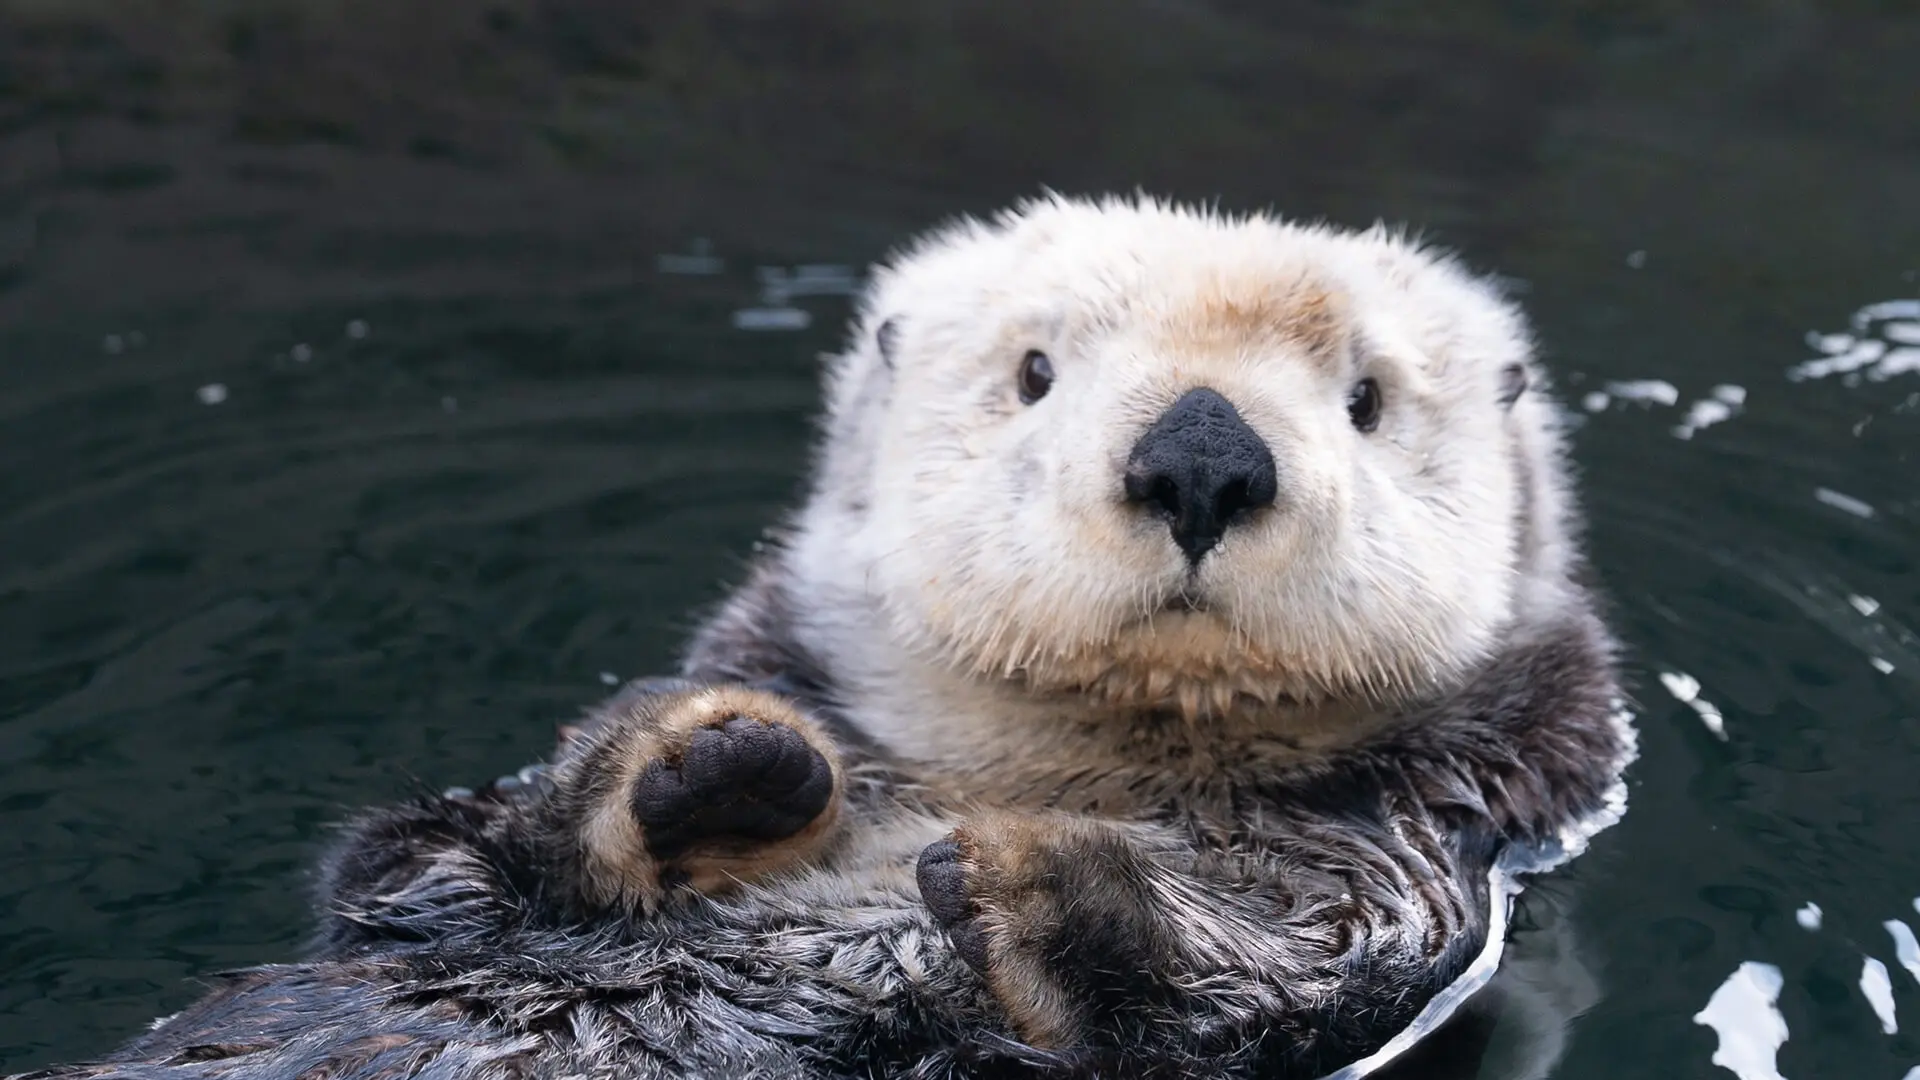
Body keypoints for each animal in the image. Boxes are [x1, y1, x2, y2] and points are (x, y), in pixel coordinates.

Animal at [15, 195, 1634, 1080]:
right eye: (1035, 371)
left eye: (1364, 400)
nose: (1202, 456)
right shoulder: (428, 889)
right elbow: (423, 861)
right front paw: (709, 764)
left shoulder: (1403, 872)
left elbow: (1259, 982)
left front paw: (1033, 881)